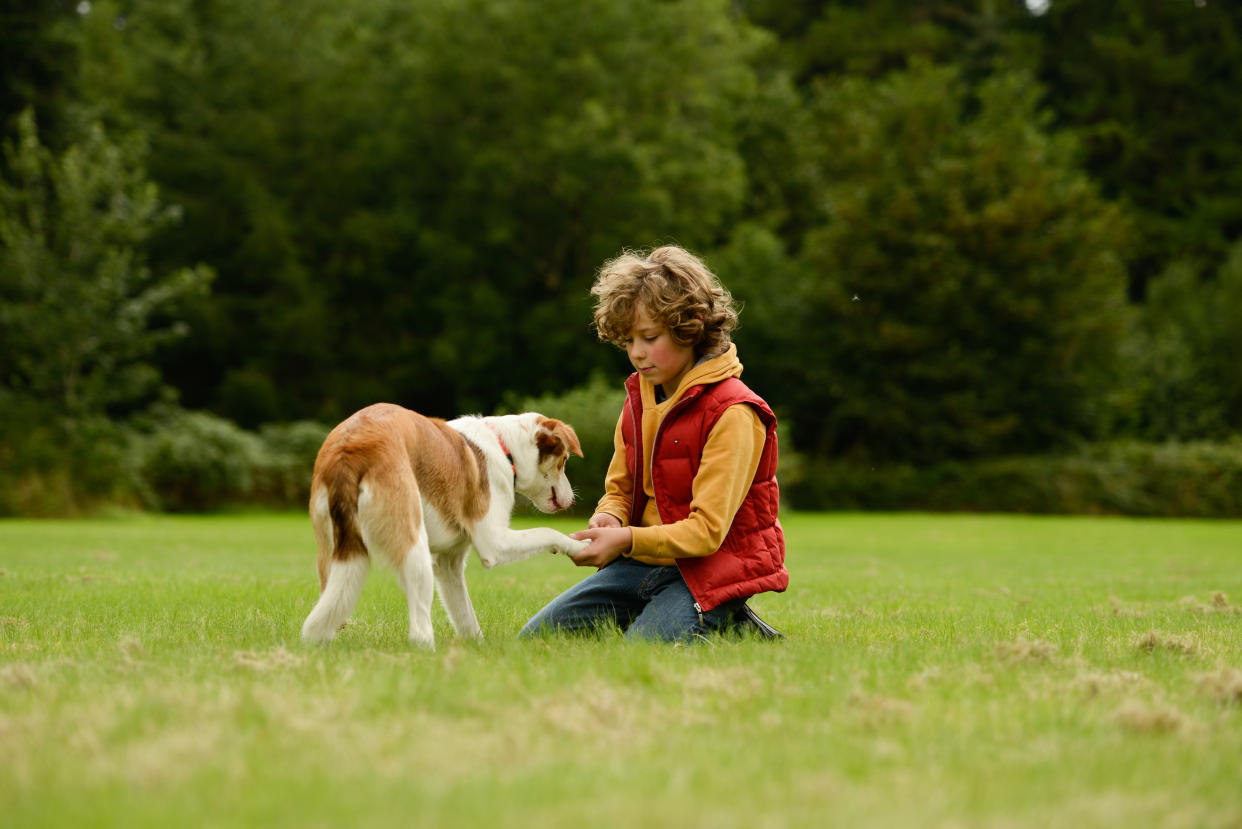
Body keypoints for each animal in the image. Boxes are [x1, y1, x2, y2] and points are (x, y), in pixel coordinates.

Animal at [301, 402, 591, 646]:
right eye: (564, 460)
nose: (573, 500)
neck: (504, 447)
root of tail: (351, 447)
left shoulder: (448, 563)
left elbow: (465, 616)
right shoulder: (494, 543)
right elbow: (549, 532)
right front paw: (580, 545)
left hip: (331, 556)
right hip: (414, 549)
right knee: (419, 629)